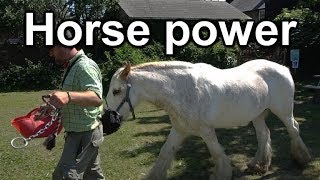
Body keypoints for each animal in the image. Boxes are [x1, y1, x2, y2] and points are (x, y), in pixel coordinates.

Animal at [106, 59, 312, 179]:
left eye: (116, 91)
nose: (108, 121)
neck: (181, 89)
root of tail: (283, 68)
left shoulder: (206, 131)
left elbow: (217, 153)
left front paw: (222, 175)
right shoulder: (179, 130)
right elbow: (164, 153)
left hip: (283, 111)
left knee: (293, 129)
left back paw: (302, 159)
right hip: (258, 115)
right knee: (263, 135)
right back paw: (259, 165)